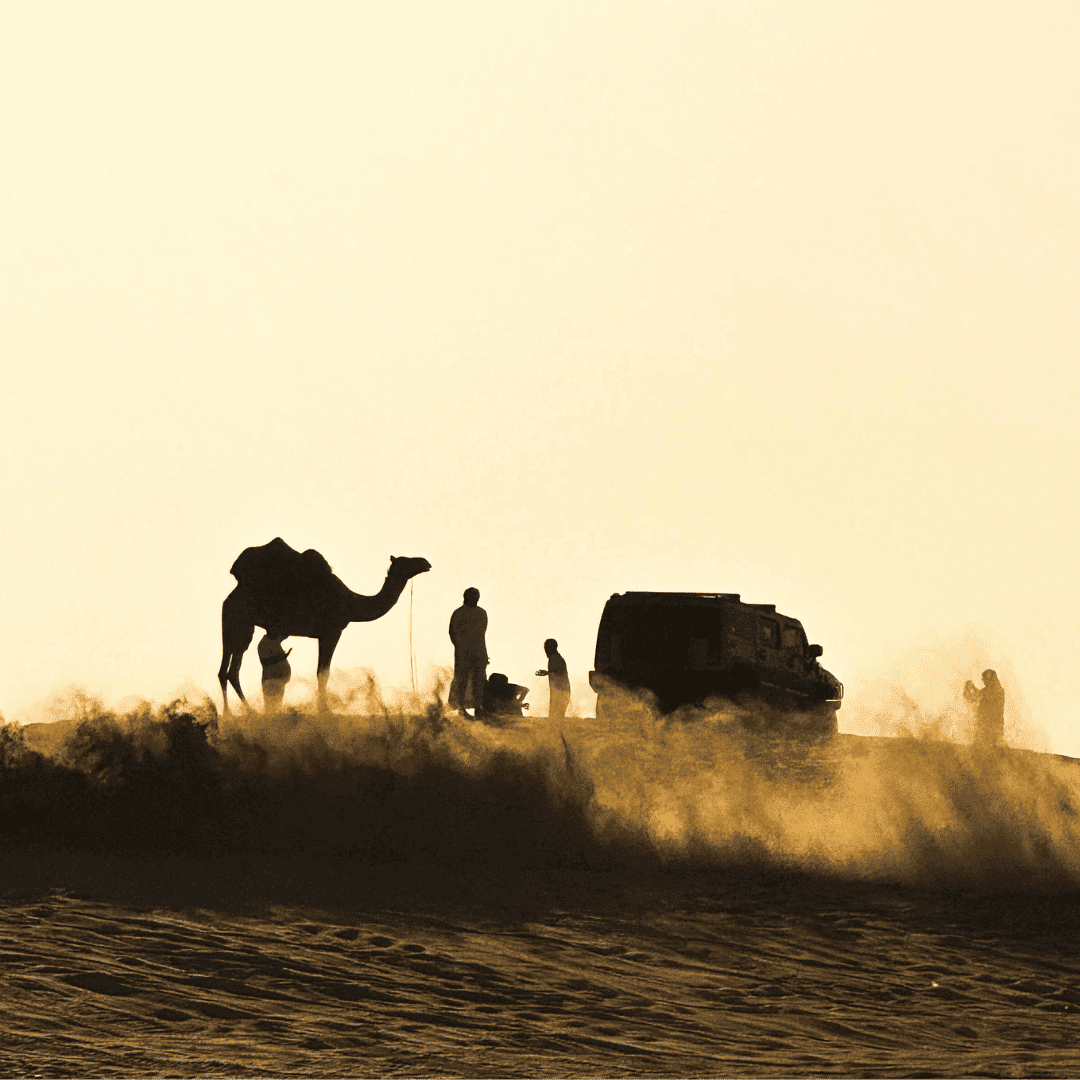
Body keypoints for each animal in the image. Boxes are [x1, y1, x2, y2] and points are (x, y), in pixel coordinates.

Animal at [218, 538, 431, 713]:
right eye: (406, 561)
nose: (426, 562)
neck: (353, 603)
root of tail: (229, 598)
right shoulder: (332, 631)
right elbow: (323, 672)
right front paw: (324, 710)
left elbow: (321, 672)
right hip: (240, 623)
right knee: (232, 670)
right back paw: (242, 712)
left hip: (233, 626)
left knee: (225, 670)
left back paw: (234, 713)